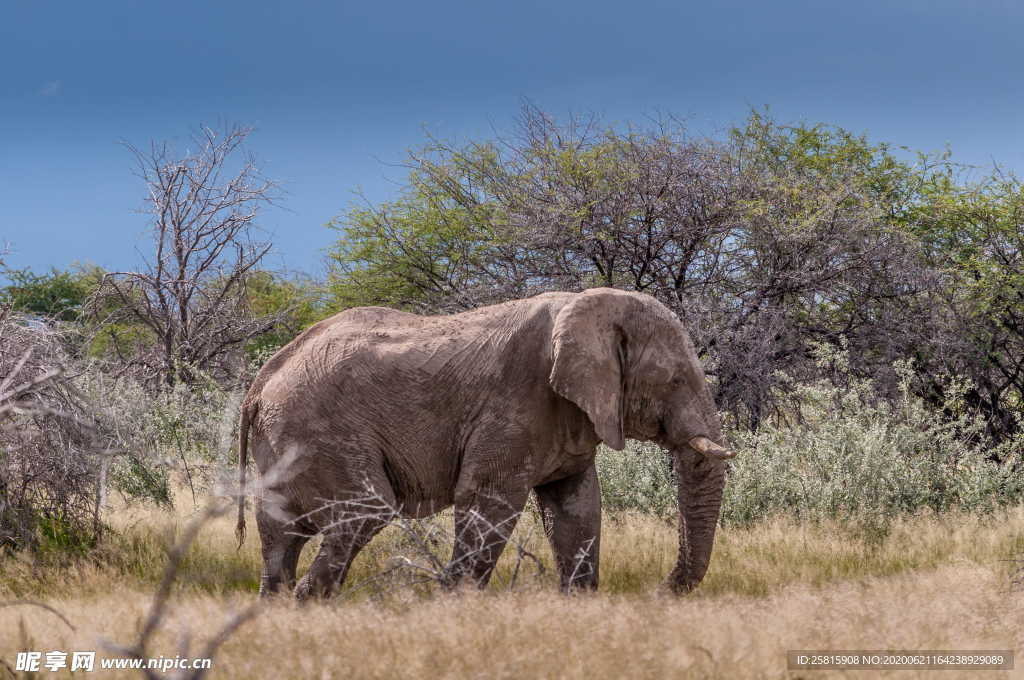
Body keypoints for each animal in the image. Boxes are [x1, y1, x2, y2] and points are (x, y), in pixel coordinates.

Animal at [235, 286, 733, 602]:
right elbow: (488, 499)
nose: (659, 592)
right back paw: (308, 603)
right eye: (675, 380)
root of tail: (260, 383)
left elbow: (576, 507)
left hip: (286, 439)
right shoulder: (515, 403)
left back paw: (279, 607)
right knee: (367, 511)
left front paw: (578, 604)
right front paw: (451, 605)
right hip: (318, 433)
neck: (586, 306)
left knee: (281, 533)